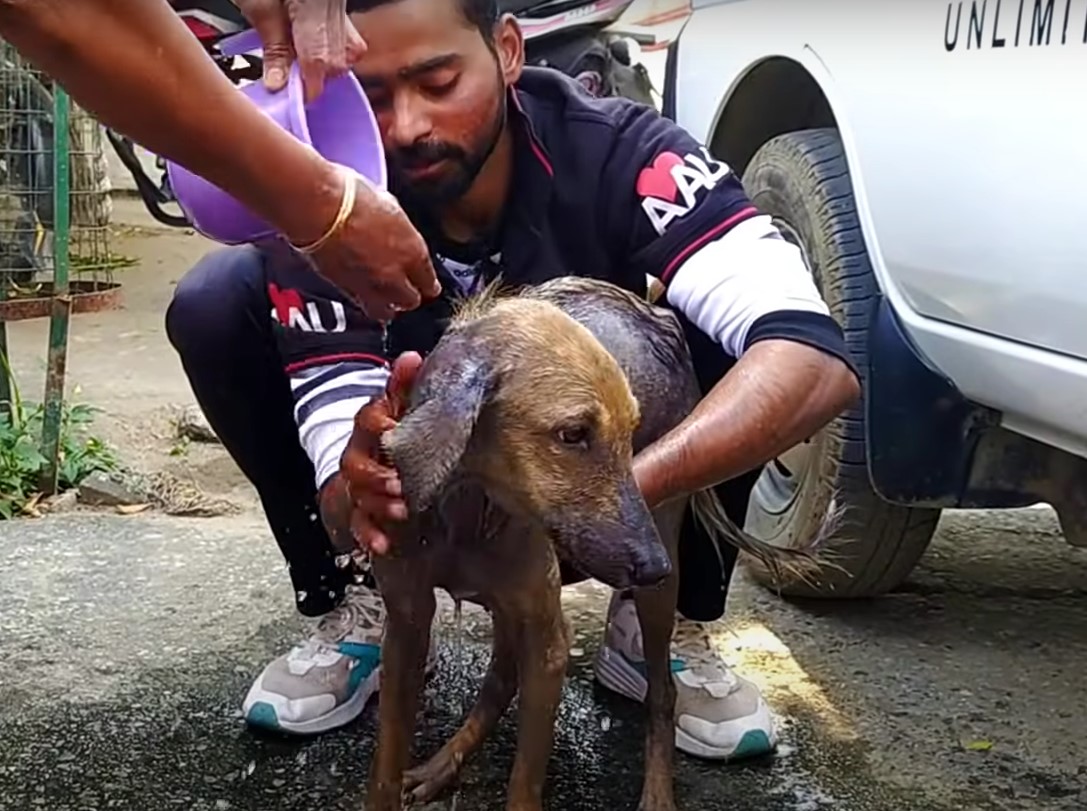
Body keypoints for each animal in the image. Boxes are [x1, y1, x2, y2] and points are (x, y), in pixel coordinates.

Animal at [365, 275, 821, 804]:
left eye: (629, 432)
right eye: (573, 433)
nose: (655, 565)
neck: (470, 510)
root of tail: (655, 313)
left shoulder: (548, 645)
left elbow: (525, 785)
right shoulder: (407, 625)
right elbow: (385, 769)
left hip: (652, 585)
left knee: (662, 692)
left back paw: (657, 795)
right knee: (501, 677)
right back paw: (444, 764)